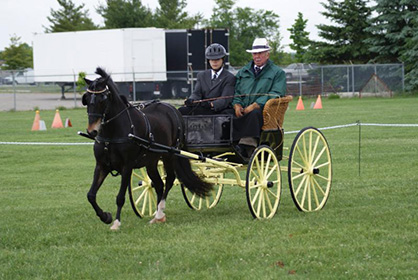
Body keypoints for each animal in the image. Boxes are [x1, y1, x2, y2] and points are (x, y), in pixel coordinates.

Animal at [81, 68, 212, 230]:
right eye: (86, 99)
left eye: (103, 99)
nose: (92, 131)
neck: (112, 133)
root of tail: (172, 109)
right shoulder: (101, 166)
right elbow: (91, 195)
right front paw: (105, 216)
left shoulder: (127, 166)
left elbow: (120, 197)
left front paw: (116, 223)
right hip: (151, 161)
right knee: (159, 184)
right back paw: (157, 215)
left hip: (169, 155)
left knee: (169, 180)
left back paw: (160, 213)